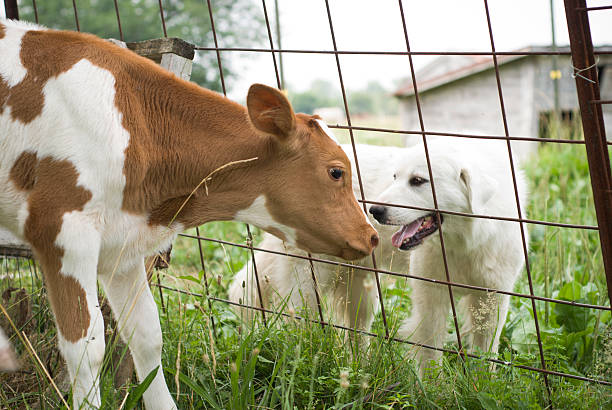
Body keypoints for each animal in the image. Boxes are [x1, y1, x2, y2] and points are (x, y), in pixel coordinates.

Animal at [0, 20, 378, 408]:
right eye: (337, 171)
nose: (372, 235)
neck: (133, 124)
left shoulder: (123, 247)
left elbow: (147, 336)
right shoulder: (62, 231)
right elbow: (85, 348)